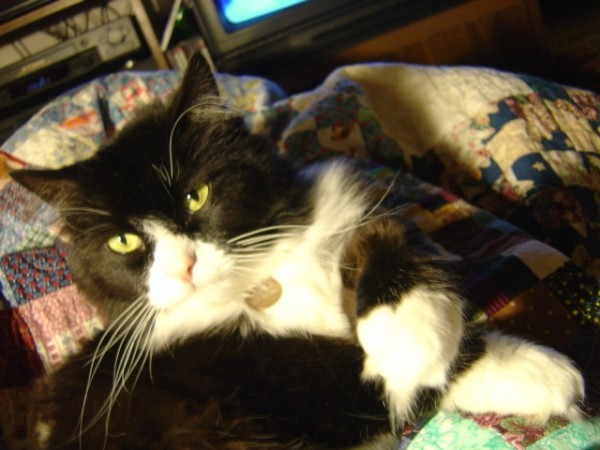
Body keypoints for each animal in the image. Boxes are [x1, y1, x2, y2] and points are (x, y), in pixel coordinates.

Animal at [12, 53, 584, 450]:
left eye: (197, 195)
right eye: (124, 241)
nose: (186, 266)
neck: (261, 285)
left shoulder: (351, 196)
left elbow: (387, 233)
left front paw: (421, 331)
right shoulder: (282, 389)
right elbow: (376, 378)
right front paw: (528, 368)